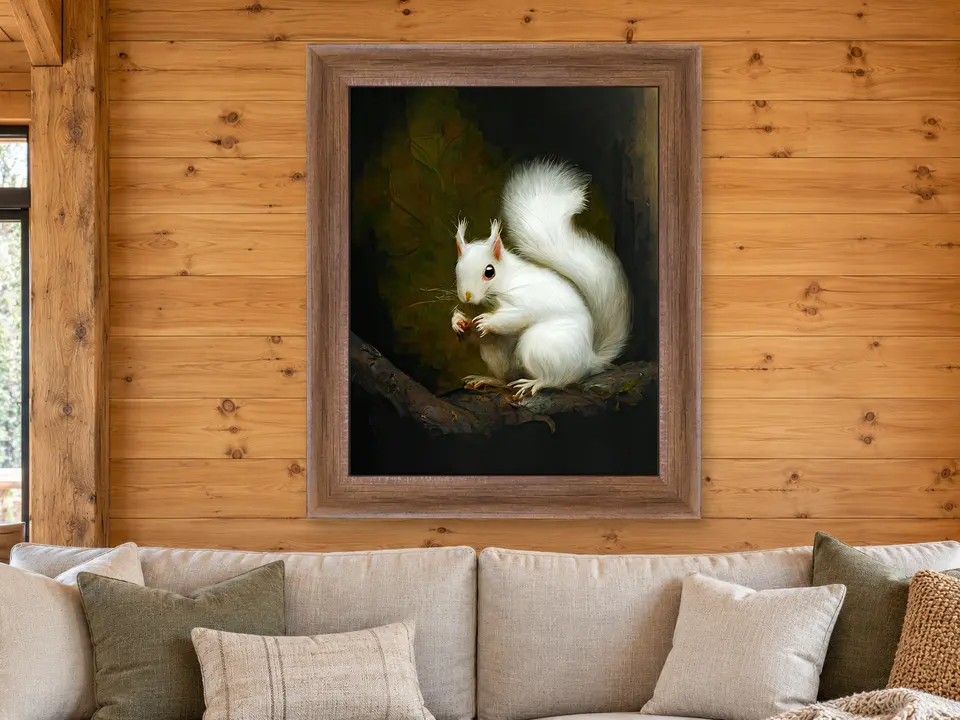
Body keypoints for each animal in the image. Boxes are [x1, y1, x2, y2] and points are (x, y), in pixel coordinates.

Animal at [451, 159, 631, 399]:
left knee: (557, 379)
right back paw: (488, 379)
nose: (468, 296)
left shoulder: (525, 297)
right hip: (494, 352)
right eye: (457, 269)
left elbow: (519, 315)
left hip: (538, 346)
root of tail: (587, 360)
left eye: (489, 272)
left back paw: (535, 383)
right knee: (504, 377)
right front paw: (458, 322)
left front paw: (488, 321)